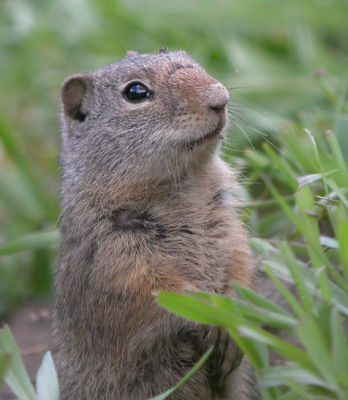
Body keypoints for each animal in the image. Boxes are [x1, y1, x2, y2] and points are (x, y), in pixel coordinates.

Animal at [53, 50, 258, 400]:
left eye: (190, 59)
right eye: (136, 92)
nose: (220, 97)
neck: (184, 187)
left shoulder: (230, 228)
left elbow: (240, 263)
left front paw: (234, 316)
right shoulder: (115, 259)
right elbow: (154, 292)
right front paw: (211, 310)